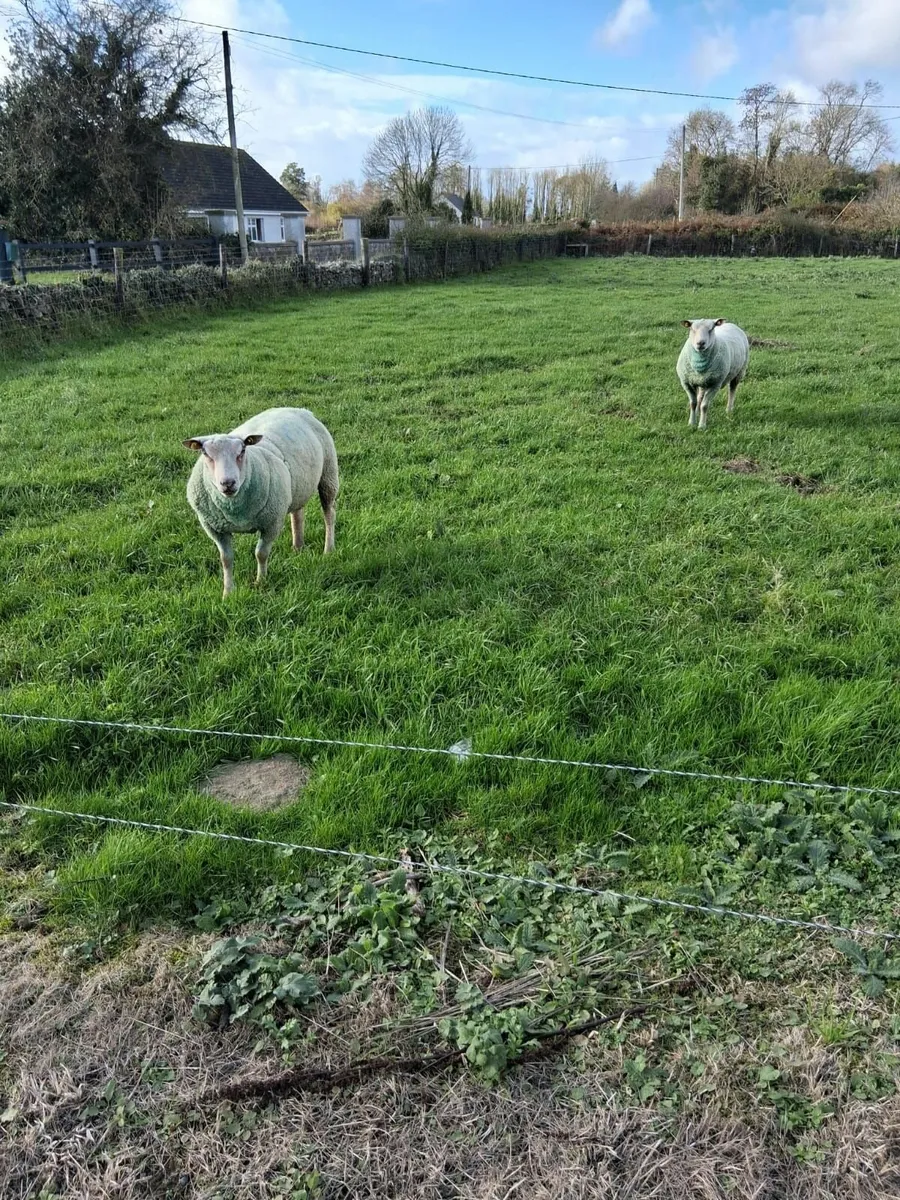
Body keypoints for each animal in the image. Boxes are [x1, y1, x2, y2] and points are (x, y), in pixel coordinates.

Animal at [183, 406, 339, 597]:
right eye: (206, 454)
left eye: (242, 451)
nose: (228, 483)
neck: (235, 511)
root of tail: (297, 409)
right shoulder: (215, 529)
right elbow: (226, 559)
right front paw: (227, 593)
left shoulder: (272, 522)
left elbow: (261, 554)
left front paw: (260, 582)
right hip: (296, 487)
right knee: (298, 514)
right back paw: (297, 547)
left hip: (329, 474)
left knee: (329, 513)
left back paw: (328, 549)